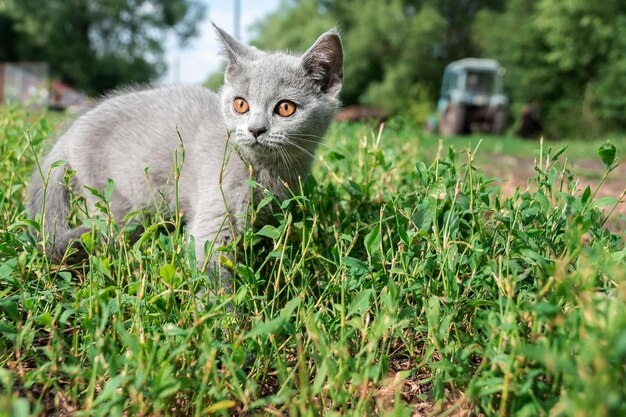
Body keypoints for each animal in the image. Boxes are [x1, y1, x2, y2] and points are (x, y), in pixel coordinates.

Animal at [28, 24, 342, 278]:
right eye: (240, 104)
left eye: (286, 108)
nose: (255, 129)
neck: (267, 171)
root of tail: (69, 134)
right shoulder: (215, 215)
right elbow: (212, 273)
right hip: (115, 203)